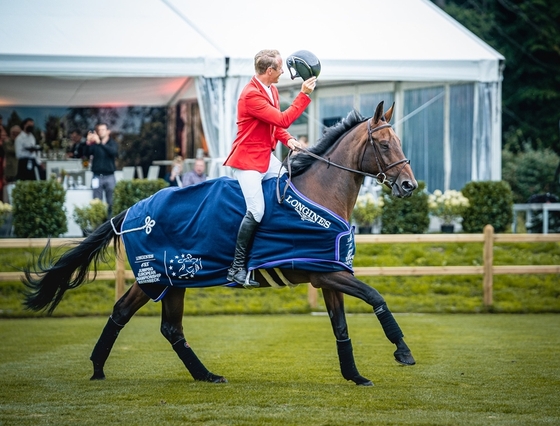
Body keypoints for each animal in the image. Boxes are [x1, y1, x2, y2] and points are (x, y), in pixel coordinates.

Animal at [25, 102, 420, 386]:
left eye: (401, 143)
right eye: (385, 144)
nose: (409, 186)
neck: (319, 194)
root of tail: (135, 209)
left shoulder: (328, 274)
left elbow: (341, 327)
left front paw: (354, 375)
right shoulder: (325, 274)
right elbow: (376, 297)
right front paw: (403, 351)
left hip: (171, 281)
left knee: (161, 325)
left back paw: (198, 374)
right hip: (156, 277)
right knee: (133, 315)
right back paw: (105, 369)